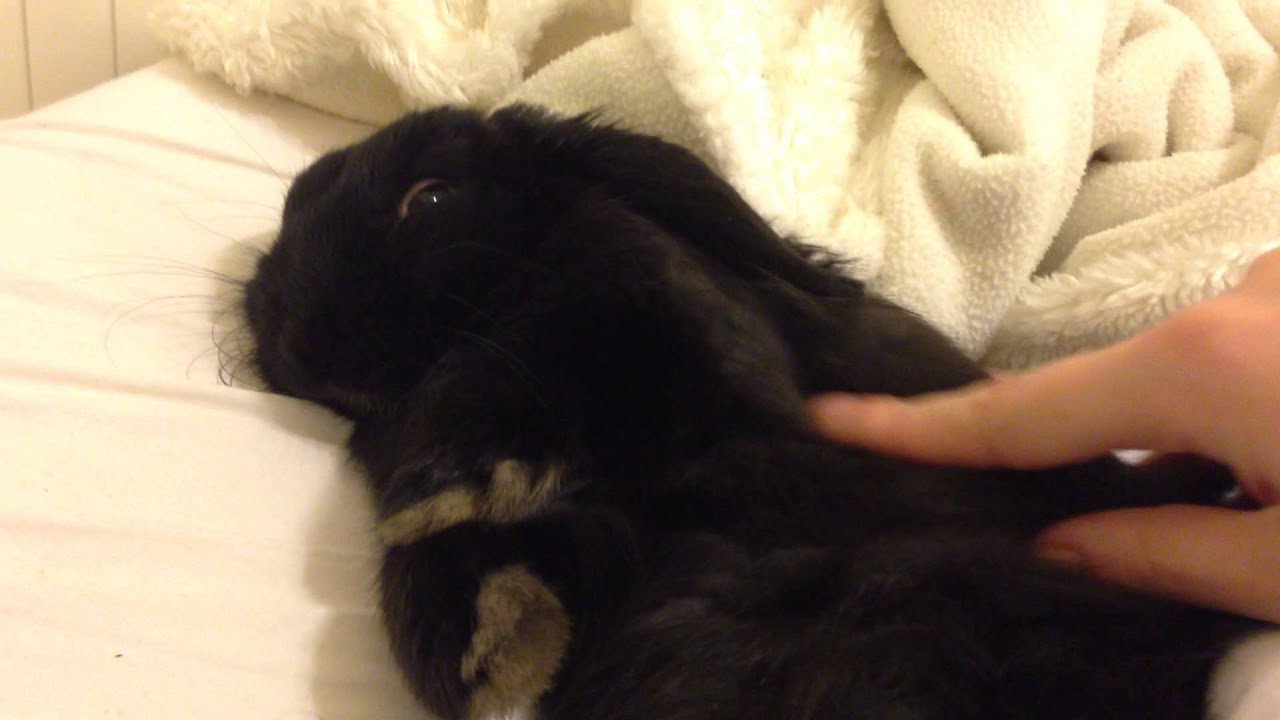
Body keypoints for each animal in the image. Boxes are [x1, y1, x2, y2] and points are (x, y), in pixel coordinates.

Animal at [242, 104, 1264, 720]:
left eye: (431, 195)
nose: (295, 340)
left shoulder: (657, 322)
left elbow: (524, 376)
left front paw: (459, 494)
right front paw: (492, 645)